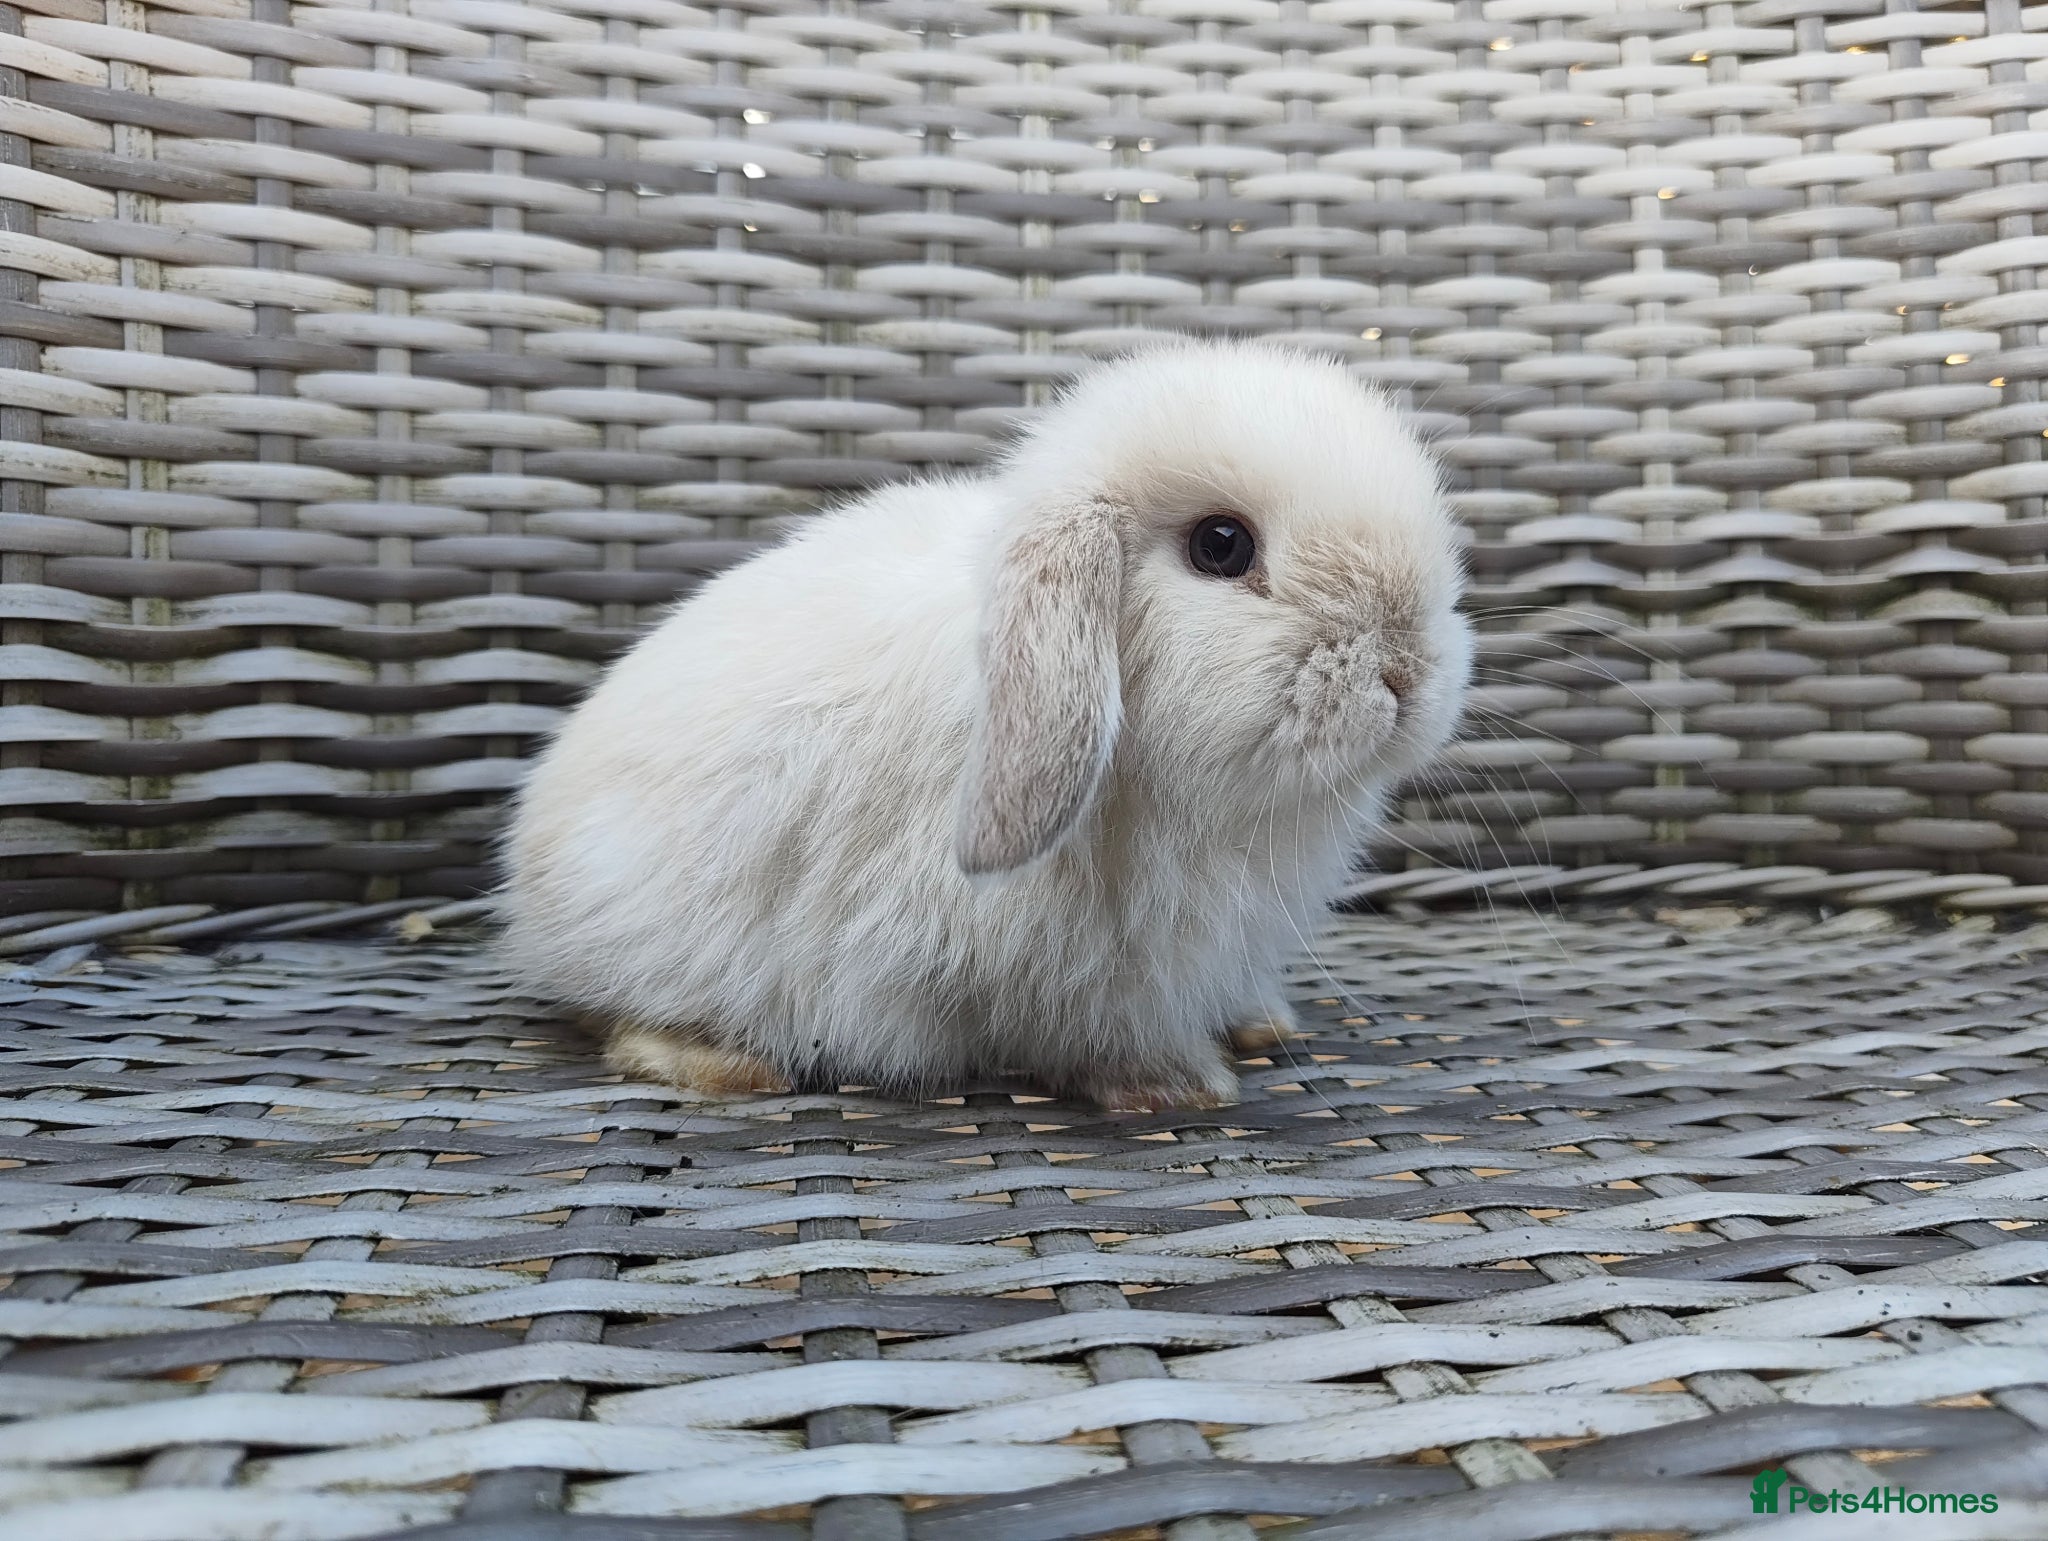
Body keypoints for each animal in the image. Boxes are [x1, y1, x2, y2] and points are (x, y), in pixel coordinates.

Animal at [500, 336, 1473, 1109]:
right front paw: (1179, 1086)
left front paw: (1256, 1025)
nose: (1406, 671)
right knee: (613, 1015)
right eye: (1221, 545)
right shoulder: (1076, 973)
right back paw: (725, 1067)